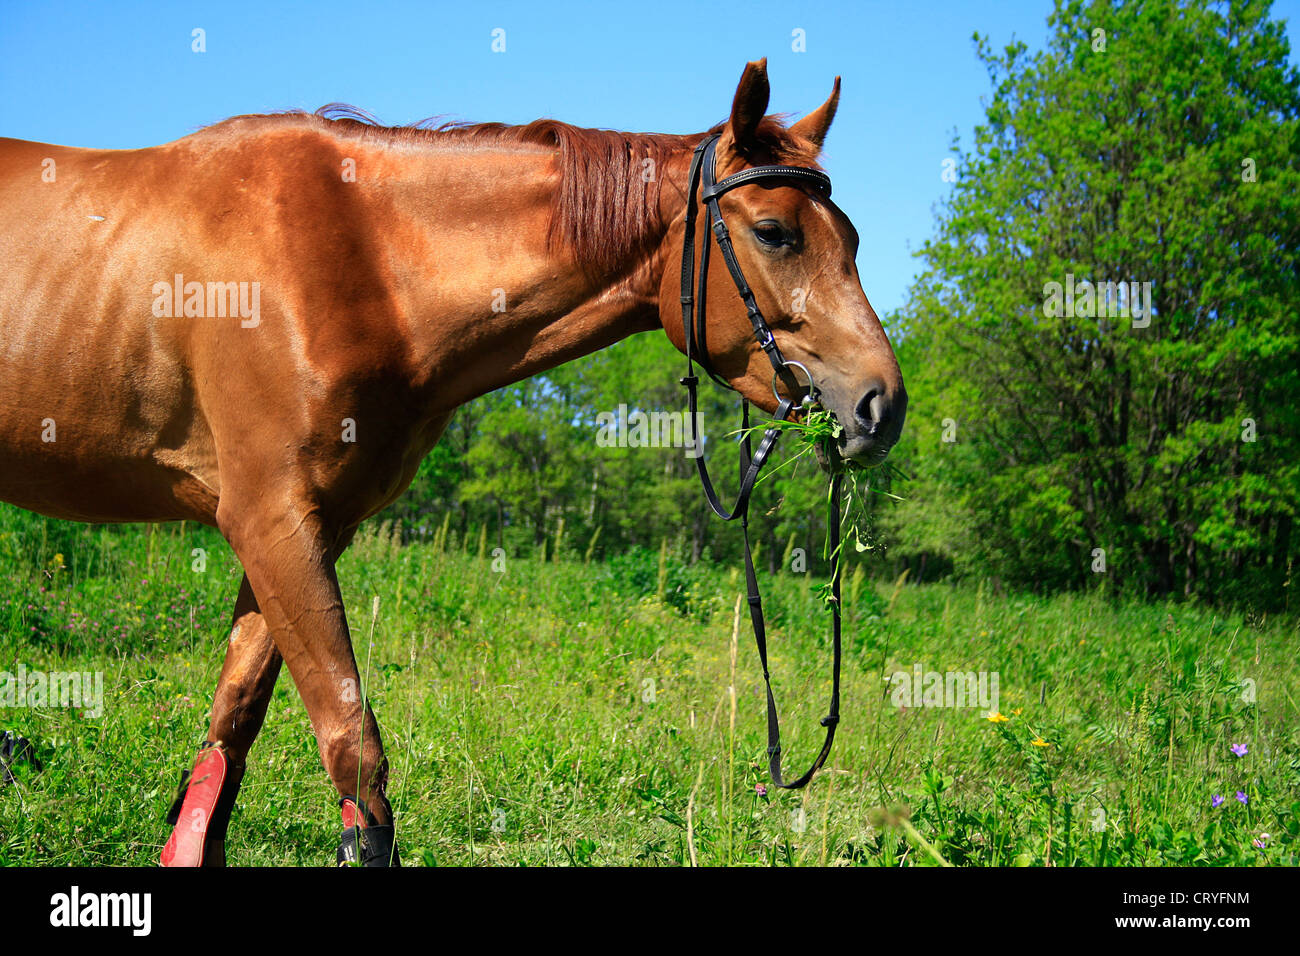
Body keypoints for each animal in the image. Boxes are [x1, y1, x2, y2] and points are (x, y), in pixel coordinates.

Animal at [0, 59, 906, 865]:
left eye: (854, 237)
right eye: (774, 232)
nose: (880, 406)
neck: (357, 258)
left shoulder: (304, 531)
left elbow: (232, 731)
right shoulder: (269, 522)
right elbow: (354, 752)